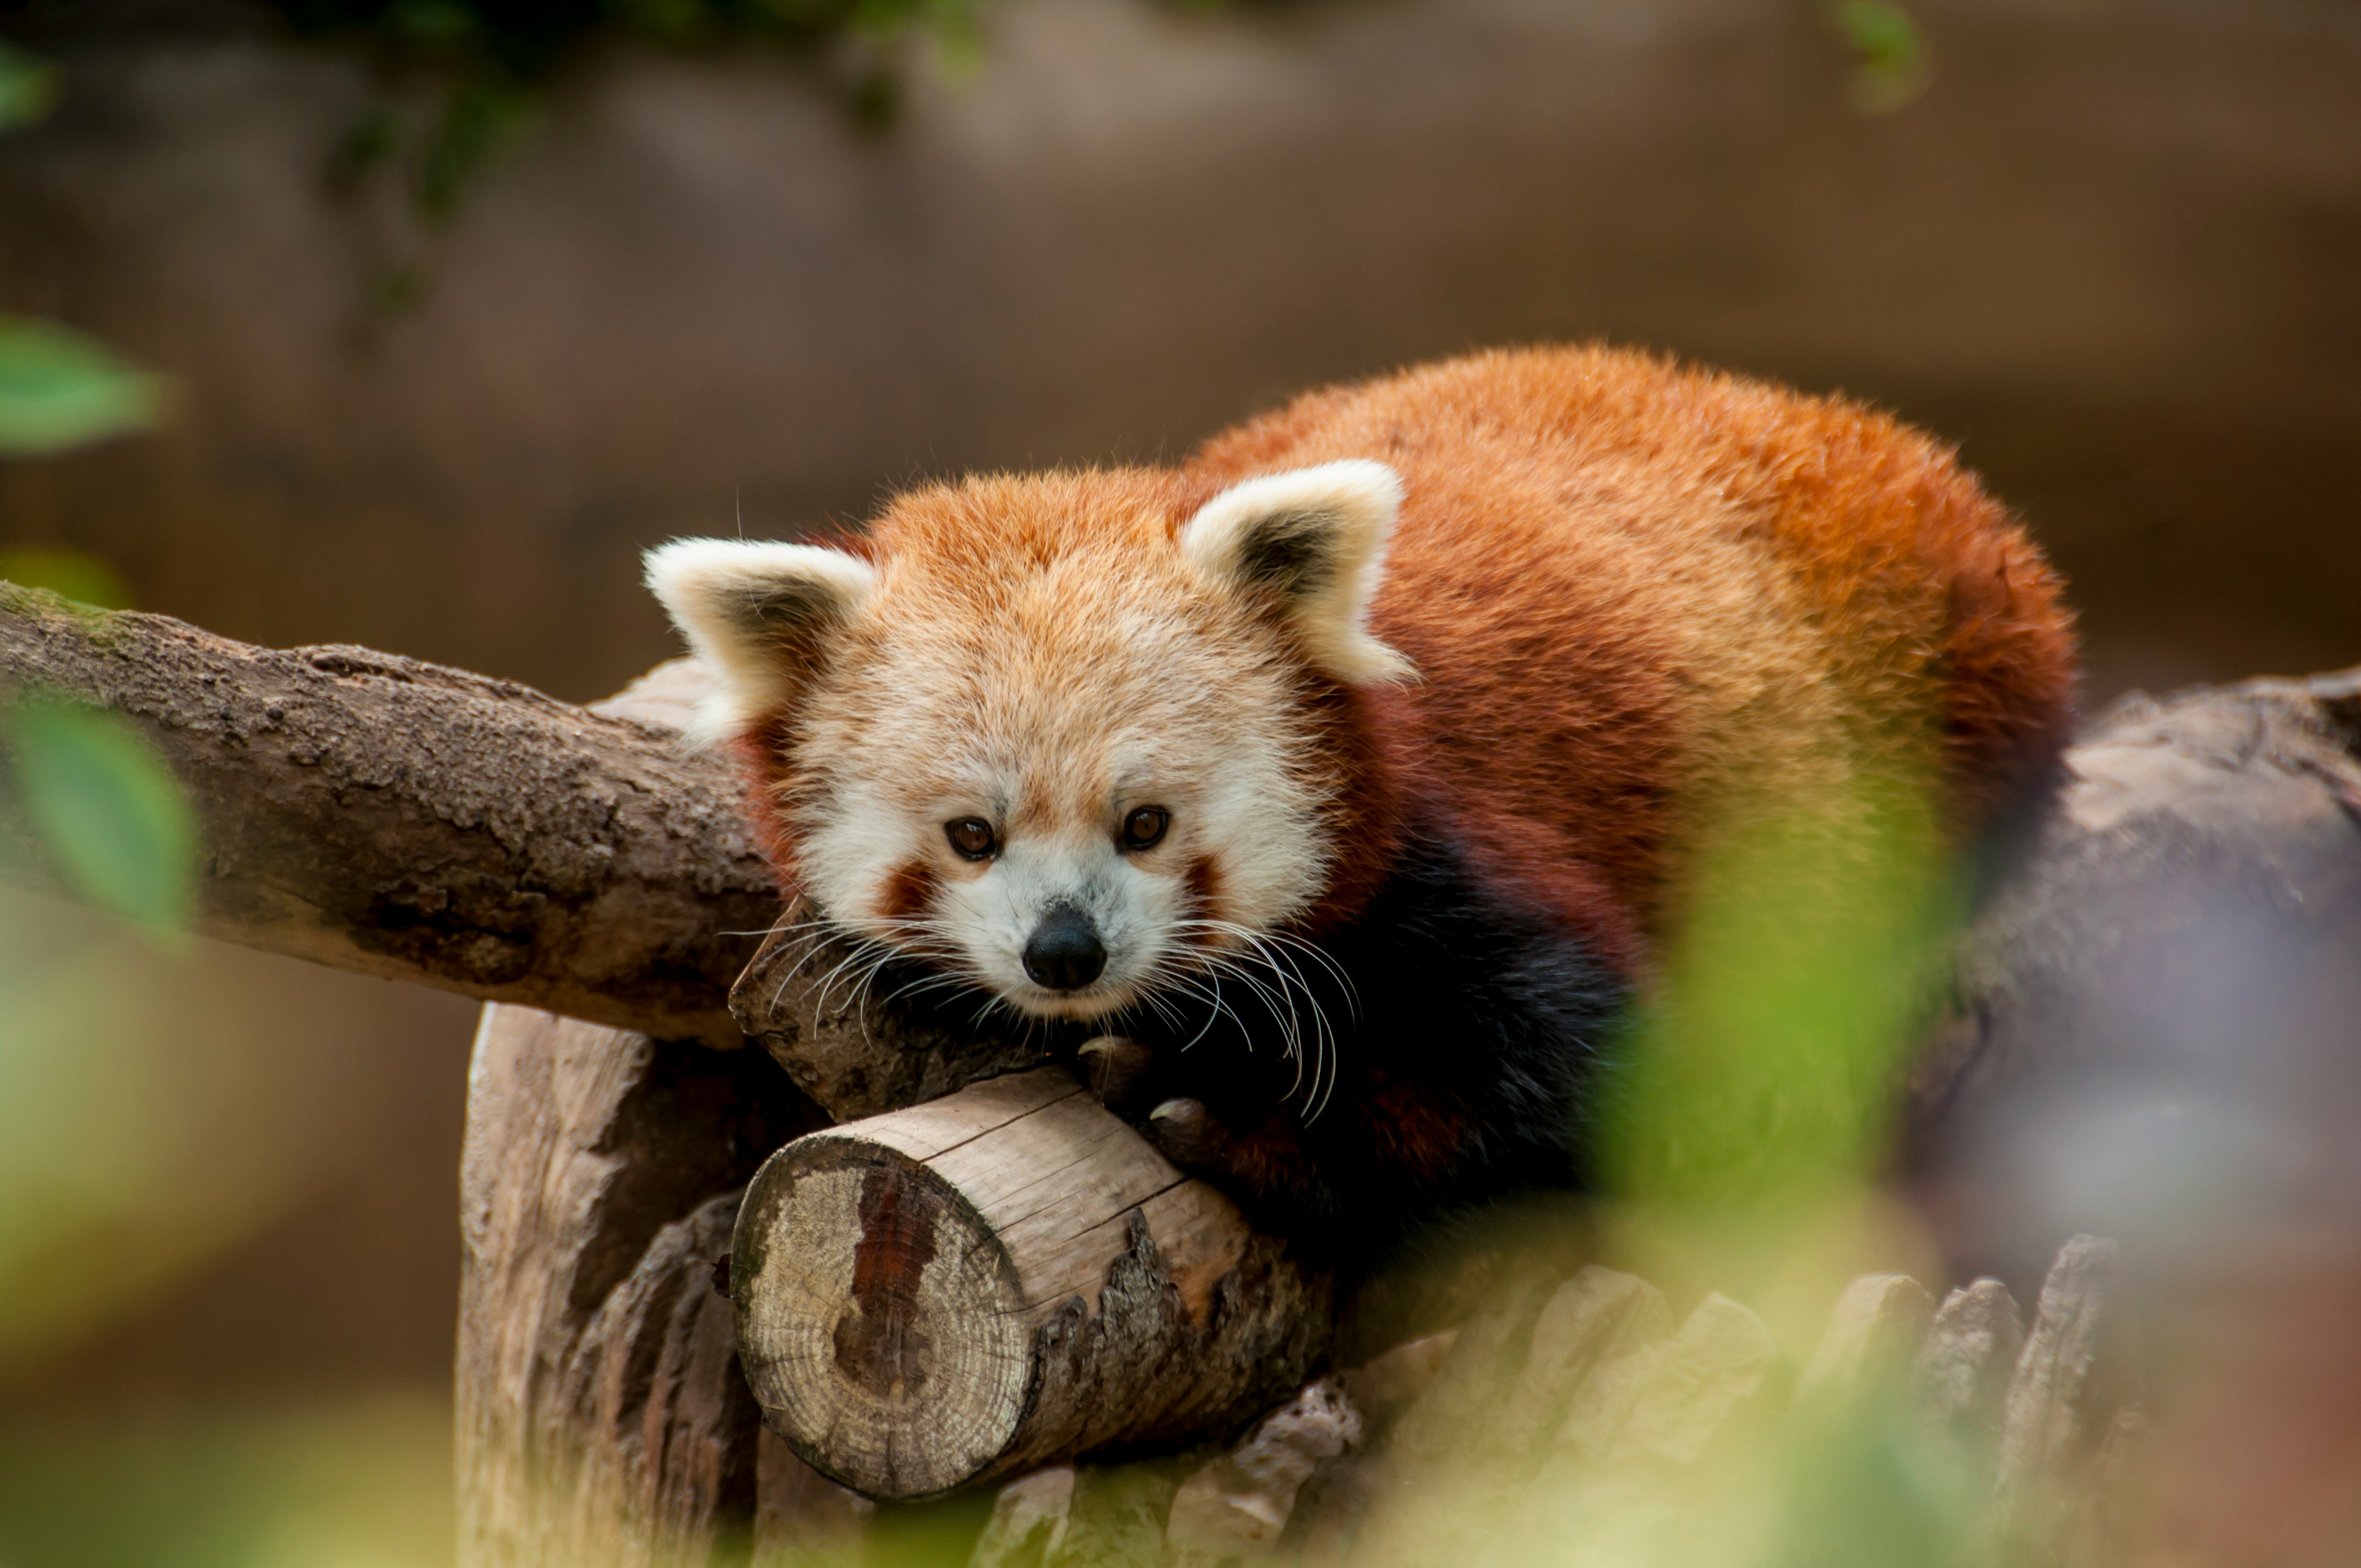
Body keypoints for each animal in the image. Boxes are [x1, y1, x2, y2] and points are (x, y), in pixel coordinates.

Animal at [656, 342, 2077, 1246]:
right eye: (970, 835)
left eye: (1145, 822)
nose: (1066, 952)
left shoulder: (1459, 854)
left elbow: (1591, 1084)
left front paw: (1237, 1120)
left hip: (1953, 663)